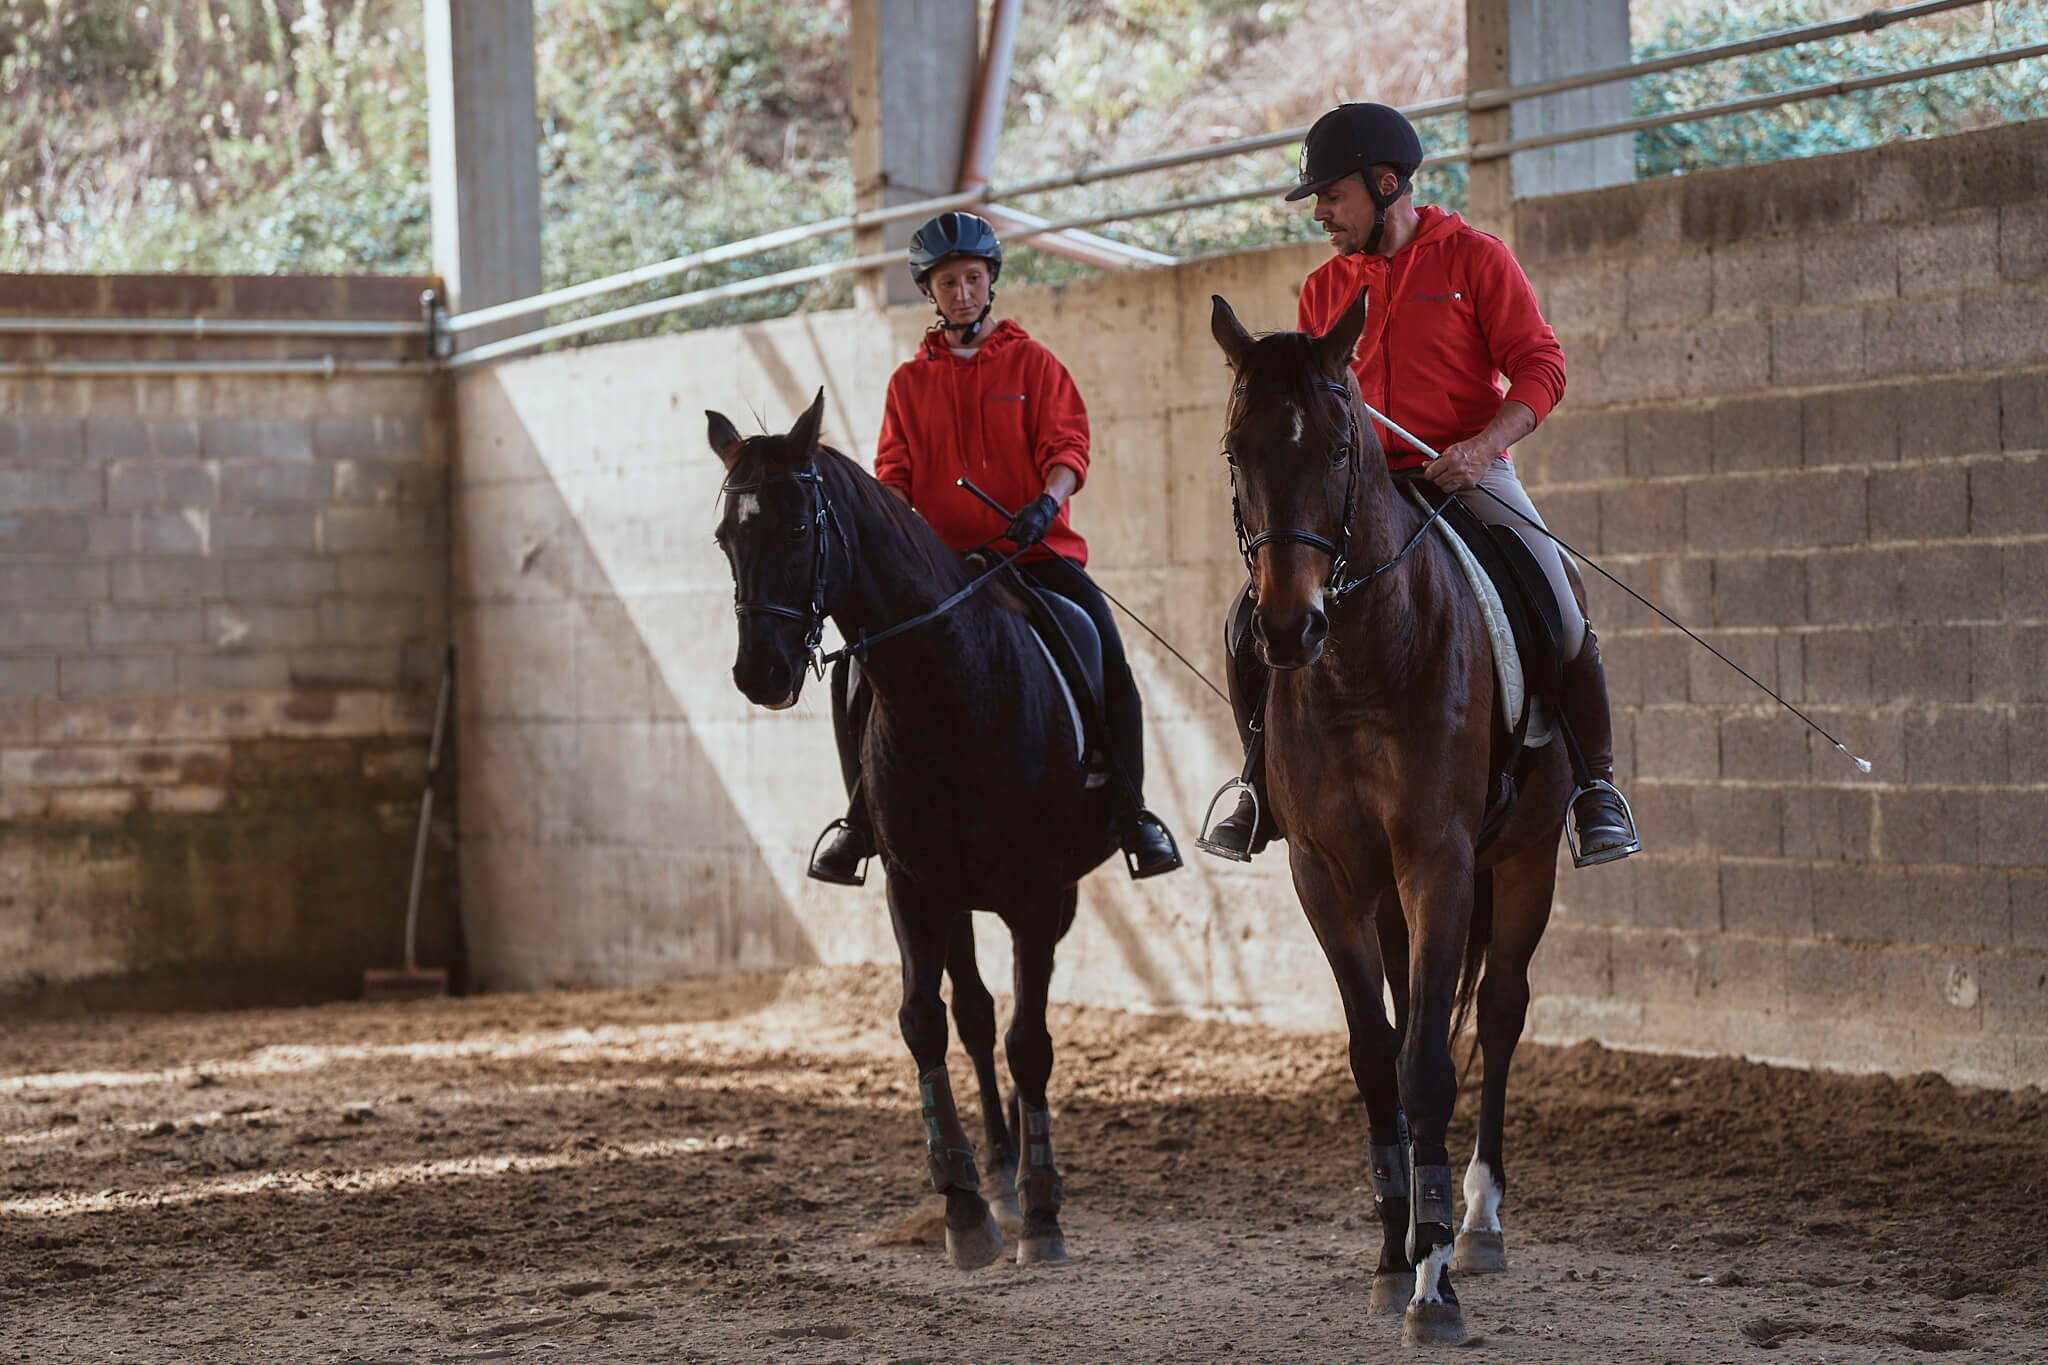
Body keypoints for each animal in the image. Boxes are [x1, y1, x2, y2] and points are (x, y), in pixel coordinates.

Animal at [708, 389, 1117, 1270]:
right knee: (976, 1014)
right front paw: (965, 1203)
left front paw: (1043, 1209)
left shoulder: (1038, 892)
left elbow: (1032, 1041)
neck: (951, 686)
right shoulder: (913, 882)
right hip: (955, 896)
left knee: (1010, 1020)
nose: (760, 672)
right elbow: (927, 1020)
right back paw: (997, 1165)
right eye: (727, 536)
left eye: (800, 527)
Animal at [1208, 290, 1574, 1346]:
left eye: (1339, 448)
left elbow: (1427, 1066)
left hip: (1525, 860)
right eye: (1236, 450)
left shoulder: (1439, 864)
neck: (1362, 658)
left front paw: (1433, 1280)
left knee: (1499, 1013)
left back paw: (1479, 1220)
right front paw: (1390, 1250)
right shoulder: (1327, 877)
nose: (1287, 628)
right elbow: (1377, 1055)